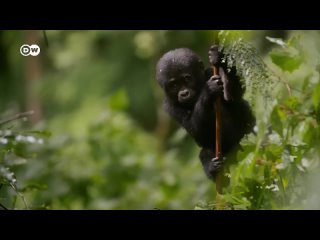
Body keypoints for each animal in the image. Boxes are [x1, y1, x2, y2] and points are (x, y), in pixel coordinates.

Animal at [155, 45, 255, 180]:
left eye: (187, 79)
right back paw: (212, 168)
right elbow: (195, 129)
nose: (184, 93)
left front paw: (219, 56)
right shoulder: (169, 106)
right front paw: (208, 91)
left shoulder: (210, 73)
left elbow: (233, 96)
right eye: (174, 85)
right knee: (205, 152)